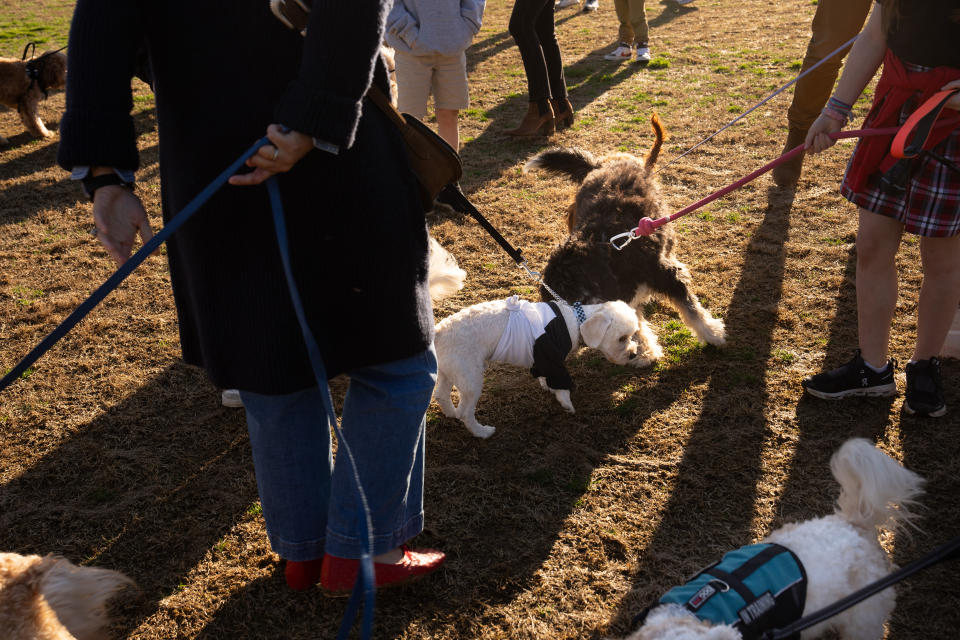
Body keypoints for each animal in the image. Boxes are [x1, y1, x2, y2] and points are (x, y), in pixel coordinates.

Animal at [434, 296, 640, 440]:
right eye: (622, 338)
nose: (633, 354)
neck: (574, 321)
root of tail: (439, 331)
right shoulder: (552, 360)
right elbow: (562, 387)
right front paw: (567, 404)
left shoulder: (541, 360)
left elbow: (544, 376)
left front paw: (546, 386)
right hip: (471, 378)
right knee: (465, 413)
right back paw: (482, 432)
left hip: (449, 371)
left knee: (441, 395)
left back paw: (451, 413)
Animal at [524, 114, 728, 364]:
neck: (605, 255)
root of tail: (599, 165)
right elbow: (636, 323)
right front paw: (644, 351)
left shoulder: (663, 274)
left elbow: (691, 308)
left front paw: (713, 334)